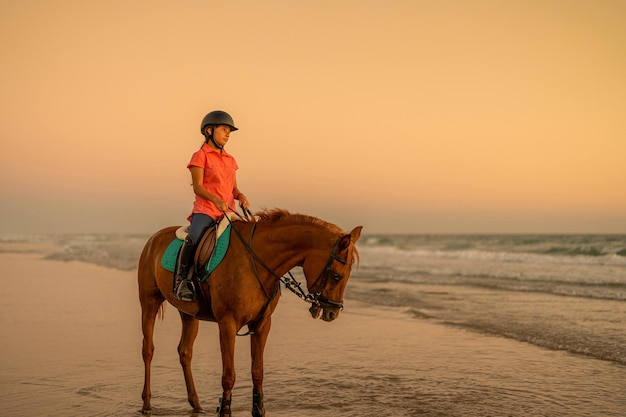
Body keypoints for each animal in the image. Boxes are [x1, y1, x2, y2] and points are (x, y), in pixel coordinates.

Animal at [136, 210, 360, 414]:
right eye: (337, 276)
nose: (333, 312)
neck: (256, 261)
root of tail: (153, 239)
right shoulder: (227, 324)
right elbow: (229, 376)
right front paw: (225, 410)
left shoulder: (262, 325)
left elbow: (257, 372)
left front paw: (259, 409)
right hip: (149, 303)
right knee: (148, 350)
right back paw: (146, 403)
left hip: (189, 314)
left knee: (185, 352)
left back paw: (196, 403)